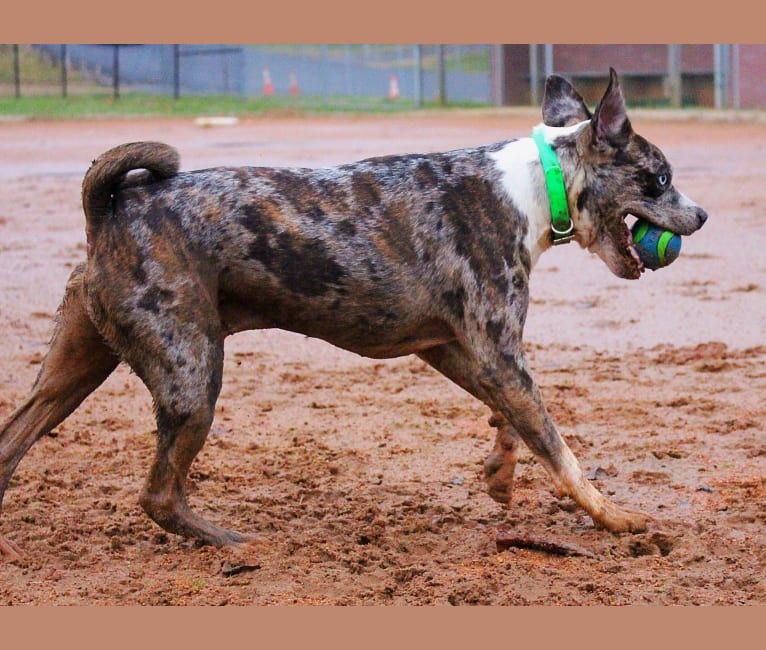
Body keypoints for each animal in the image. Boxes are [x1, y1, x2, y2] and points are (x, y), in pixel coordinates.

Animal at [0, 69, 708, 556]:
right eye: (661, 178)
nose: (701, 215)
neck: (536, 185)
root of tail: (111, 208)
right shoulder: (497, 352)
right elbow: (559, 448)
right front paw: (613, 517)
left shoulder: (458, 350)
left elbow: (515, 421)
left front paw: (500, 474)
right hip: (192, 377)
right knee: (158, 494)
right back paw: (231, 541)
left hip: (74, 369)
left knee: (12, 441)